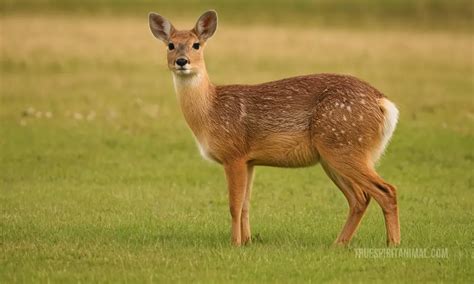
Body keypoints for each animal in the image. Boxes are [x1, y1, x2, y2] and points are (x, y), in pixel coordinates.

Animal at [148, 10, 400, 246]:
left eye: (196, 45)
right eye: (170, 45)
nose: (182, 61)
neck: (210, 110)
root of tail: (384, 103)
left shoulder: (233, 154)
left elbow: (234, 205)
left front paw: (234, 243)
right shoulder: (249, 161)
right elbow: (246, 205)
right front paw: (248, 242)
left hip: (343, 146)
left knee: (386, 191)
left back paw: (392, 244)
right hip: (333, 156)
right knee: (360, 198)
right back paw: (338, 244)